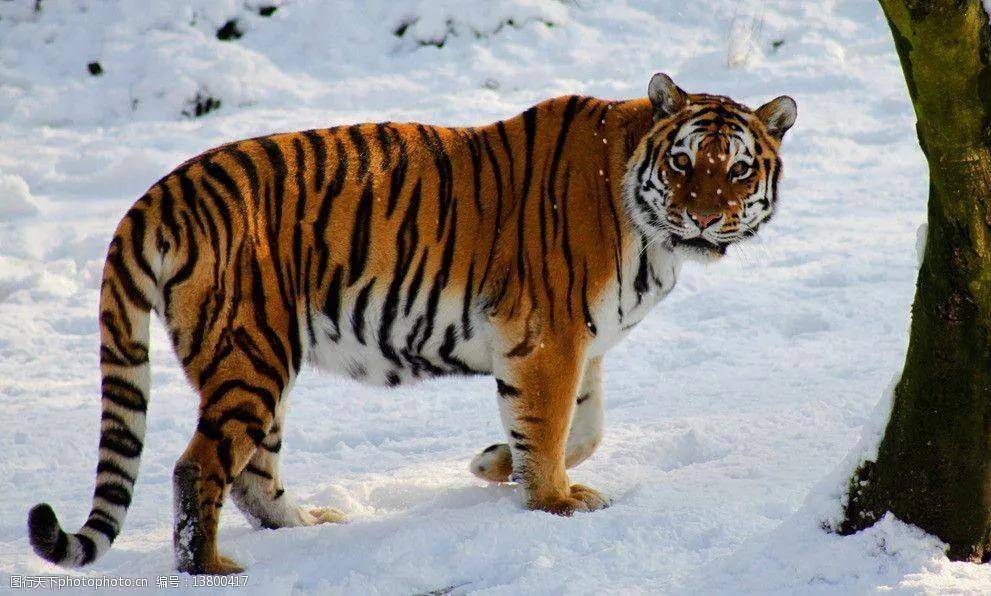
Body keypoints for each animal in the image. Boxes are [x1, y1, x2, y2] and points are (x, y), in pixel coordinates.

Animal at [27, 73, 796, 574]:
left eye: (736, 170)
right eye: (683, 162)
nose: (703, 216)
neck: (648, 228)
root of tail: (158, 193)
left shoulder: (585, 345)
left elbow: (585, 428)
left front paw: (493, 464)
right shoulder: (549, 338)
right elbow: (549, 427)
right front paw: (552, 503)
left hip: (260, 363)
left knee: (253, 473)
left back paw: (305, 525)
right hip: (251, 354)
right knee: (199, 468)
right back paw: (212, 568)